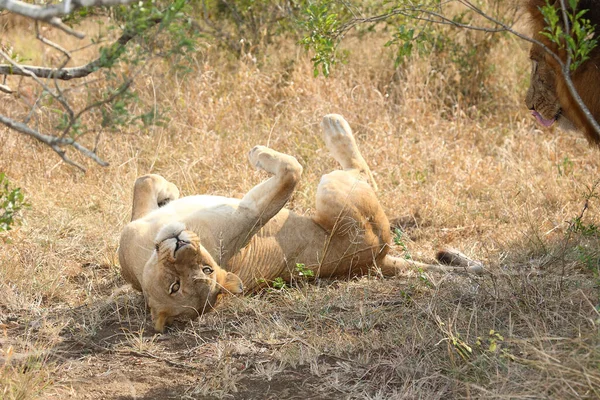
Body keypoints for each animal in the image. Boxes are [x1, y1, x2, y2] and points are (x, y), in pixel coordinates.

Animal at [118, 115, 482, 332]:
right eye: (175, 286)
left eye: (207, 270)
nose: (181, 243)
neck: (147, 253)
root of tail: (377, 260)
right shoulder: (246, 216)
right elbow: (292, 170)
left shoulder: (244, 216)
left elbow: (143, 179)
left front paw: (169, 190)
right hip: (335, 191)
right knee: (362, 173)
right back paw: (335, 126)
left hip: (331, 189)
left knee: (361, 170)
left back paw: (334, 125)